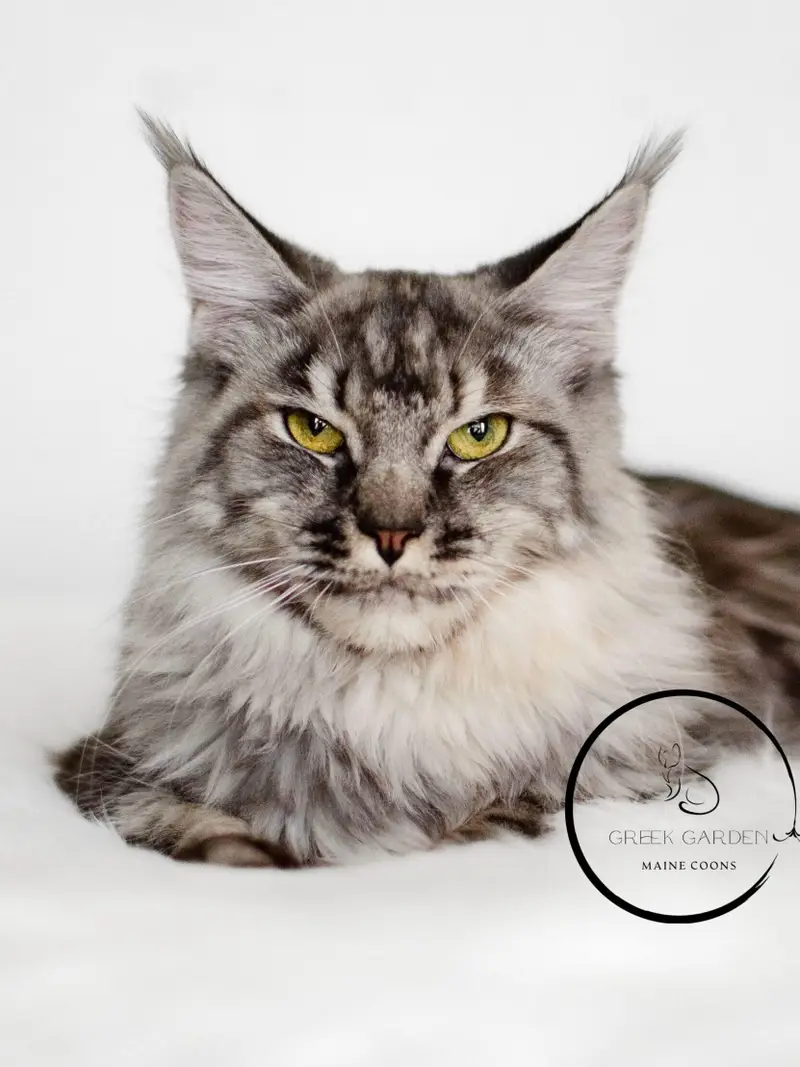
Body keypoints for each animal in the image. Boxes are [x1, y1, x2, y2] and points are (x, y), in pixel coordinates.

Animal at [53, 118, 797, 866]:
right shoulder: (101, 769)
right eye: (313, 429)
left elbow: (509, 812)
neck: (388, 713)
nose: (392, 535)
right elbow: (206, 830)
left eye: (479, 436)